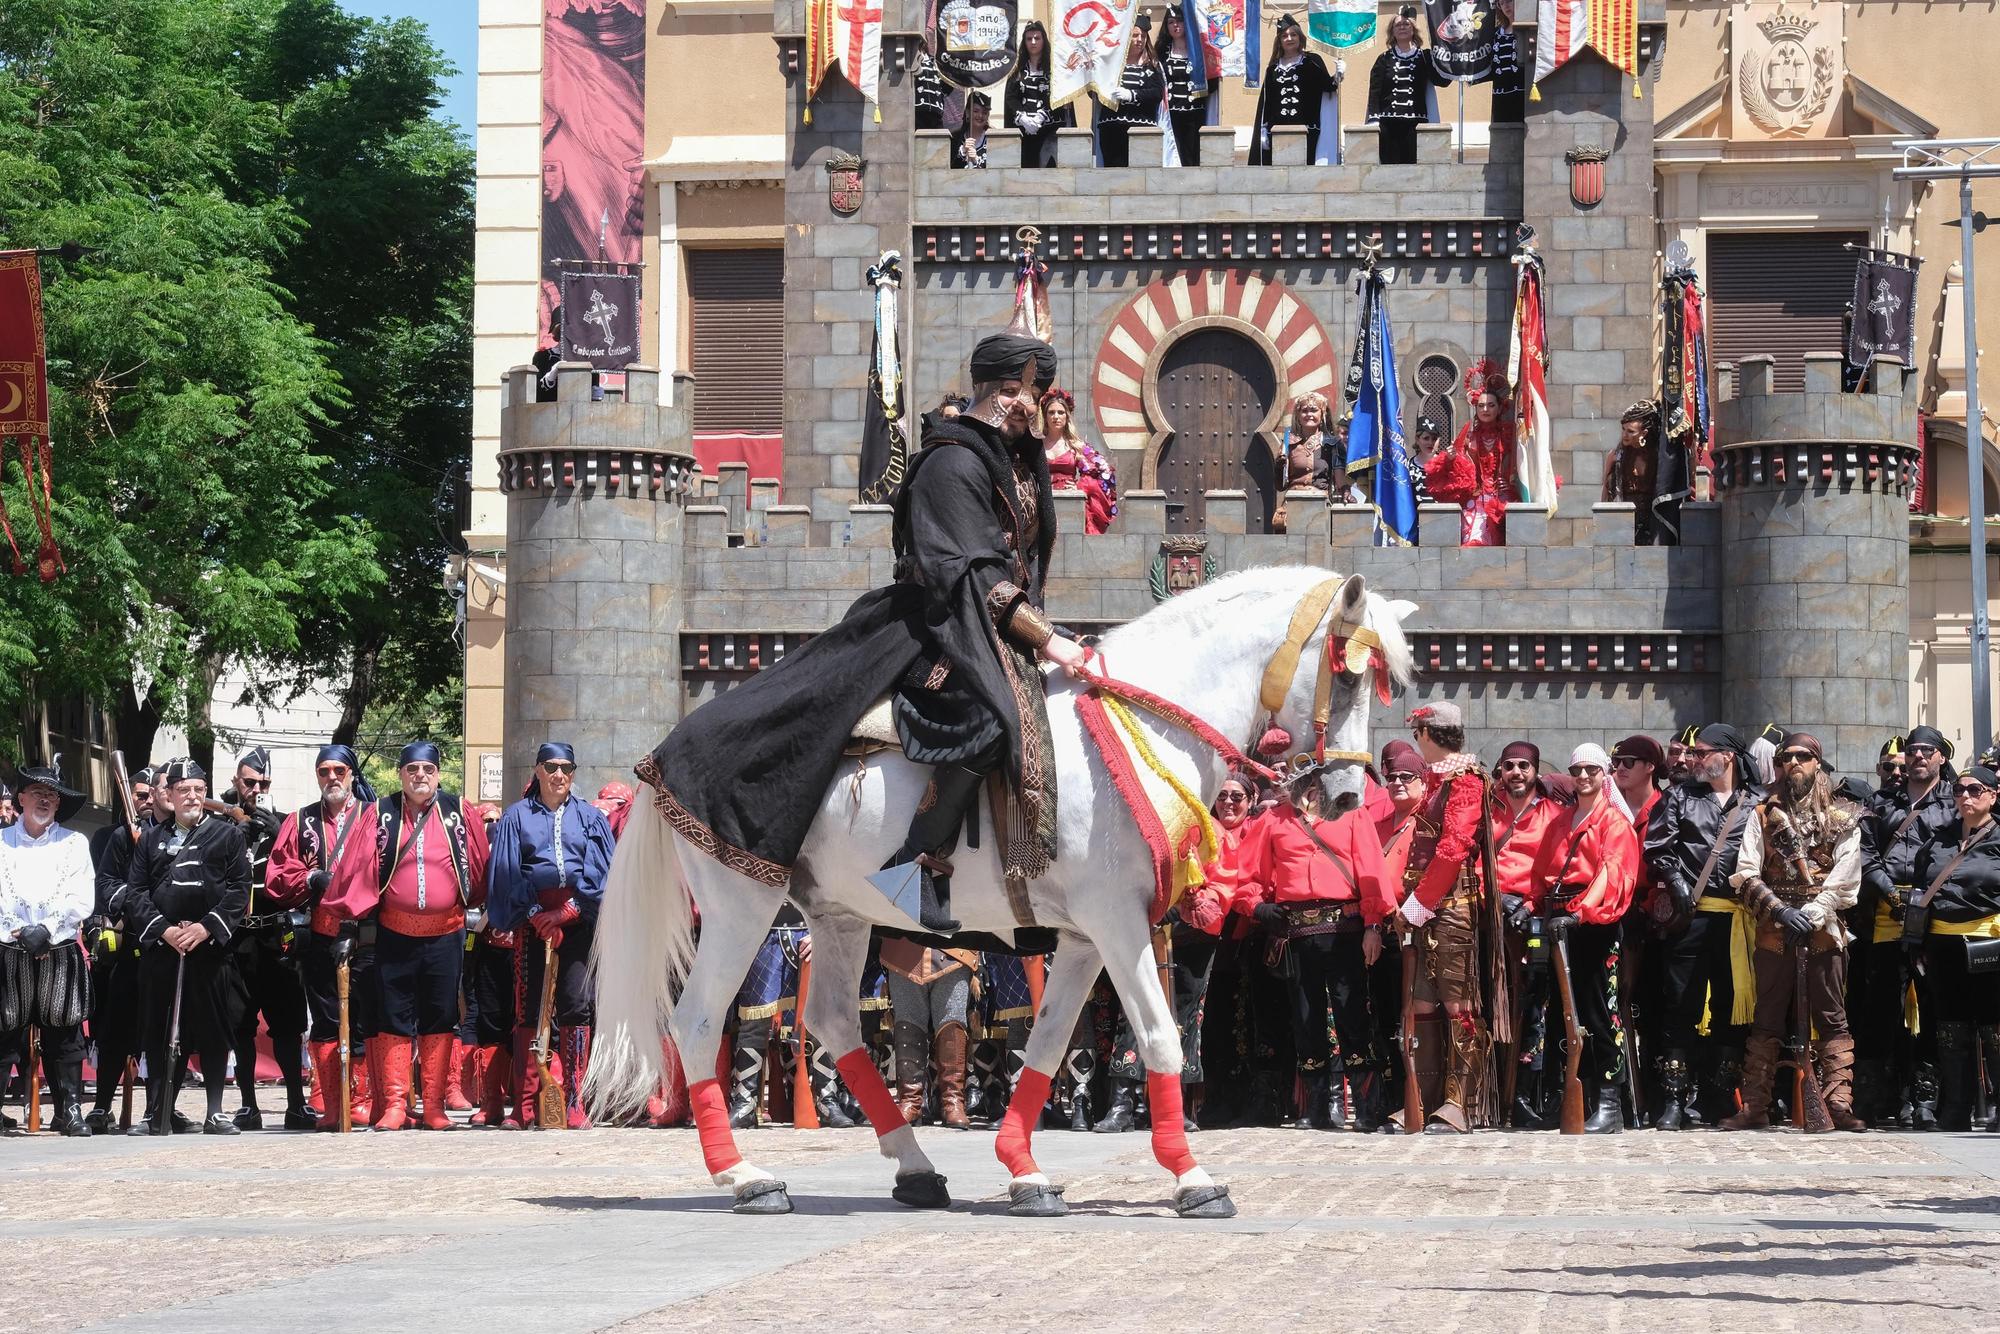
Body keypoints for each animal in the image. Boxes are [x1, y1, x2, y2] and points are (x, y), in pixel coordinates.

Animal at [584, 564, 1416, 1224]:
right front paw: (1192, 1178)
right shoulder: (1117, 924)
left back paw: (914, 1166)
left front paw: (1025, 1170)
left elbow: (1046, 1045)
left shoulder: (1084, 938)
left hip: (836, 915)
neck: (1137, 725)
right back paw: (746, 1177)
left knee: (832, 1023)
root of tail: (665, 752)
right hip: (741, 907)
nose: (1347, 799)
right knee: (697, 1023)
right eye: (1346, 673)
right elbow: (1159, 1037)